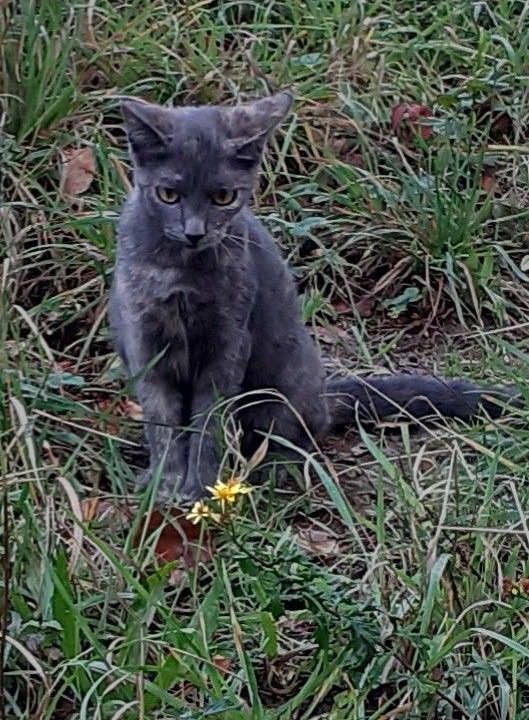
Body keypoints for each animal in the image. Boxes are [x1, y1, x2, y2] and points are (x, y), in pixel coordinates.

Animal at [108, 91, 520, 500]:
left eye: (223, 196)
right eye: (168, 194)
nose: (195, 232)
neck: (180, 273)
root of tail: (323, 393)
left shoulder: (227, 343)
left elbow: (210, 423)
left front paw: (201, 487)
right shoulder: (144, 341)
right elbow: (161, 422)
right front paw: (164, 484)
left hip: (280, 385)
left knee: (295, 434)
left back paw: (274, 470)